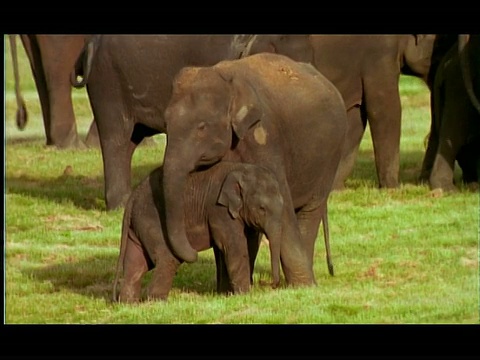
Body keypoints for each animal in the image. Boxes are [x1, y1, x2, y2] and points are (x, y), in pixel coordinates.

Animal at [114, 162, 334, 302]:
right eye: (262, 208)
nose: (272, 285)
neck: (241, 169)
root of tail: (131, 199)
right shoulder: (218, 210)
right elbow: (233, 245)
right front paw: (245, 295)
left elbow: (245, 244)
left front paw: (230, 294)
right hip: (151, 219)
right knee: (166, 259)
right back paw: (157, 301)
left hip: (139, 225)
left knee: (136, 264)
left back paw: (129, 305)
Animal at [161, 51, 344, 286]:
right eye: (165, 125)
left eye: (201, 127)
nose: (193, 254)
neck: (225, 77)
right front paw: (225, 290)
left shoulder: (264, 136)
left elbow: (282, 204)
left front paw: (305, 288)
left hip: (331, 158)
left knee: (310, 212)